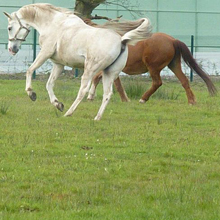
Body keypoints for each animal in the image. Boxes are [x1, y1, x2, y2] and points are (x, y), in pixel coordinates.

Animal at [3, 3, 151, 120]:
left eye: (9, 28)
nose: (11, 49)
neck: (53, 24)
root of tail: (121, 41)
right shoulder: (59, 64)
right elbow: (49, 84)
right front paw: (58, 104)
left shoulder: (45, 53)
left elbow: (29, 71)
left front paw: (31, 93)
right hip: (109, 73)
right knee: (107, 94)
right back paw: (97, 117)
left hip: (90, 70)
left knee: (83, 90)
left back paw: (69, 113)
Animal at [86, 32, 217, 103]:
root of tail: (172, 40)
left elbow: (102, 80)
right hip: (174, 65)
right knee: (184, 81)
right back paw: (191, 101)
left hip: (153, 68)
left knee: (157, 83)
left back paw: (143, 99)